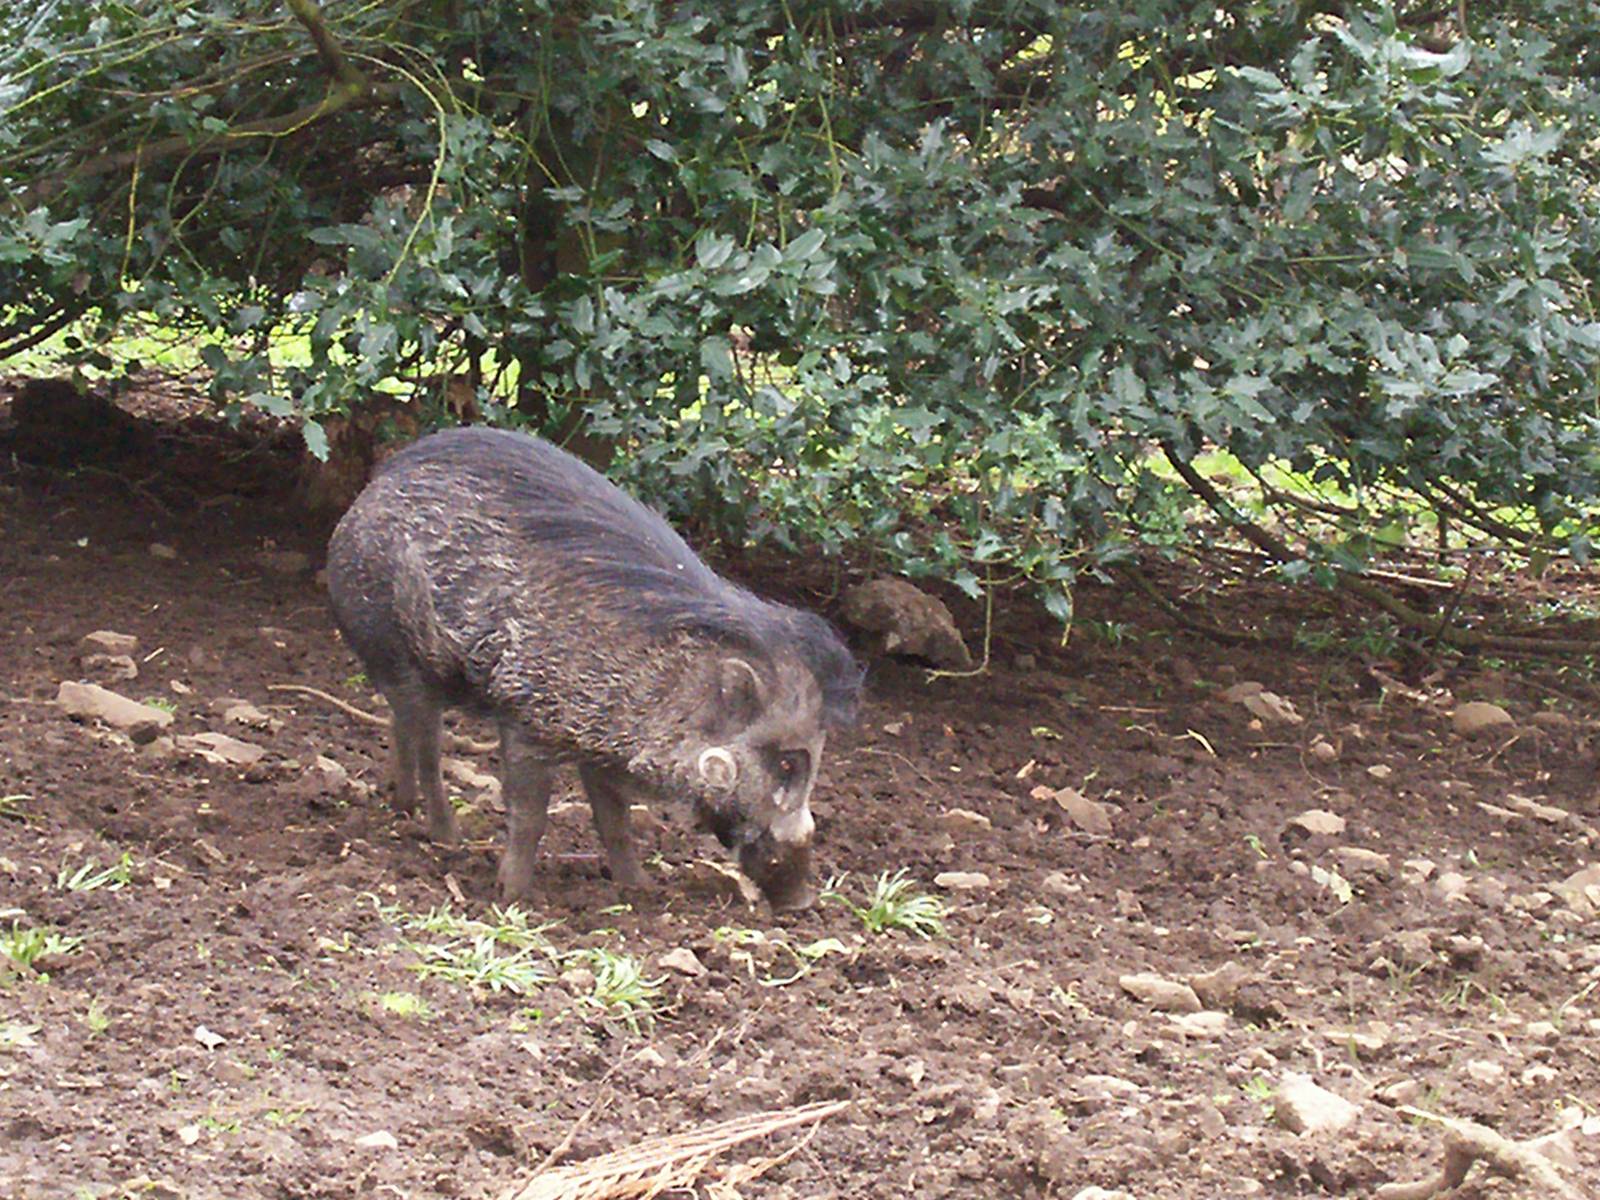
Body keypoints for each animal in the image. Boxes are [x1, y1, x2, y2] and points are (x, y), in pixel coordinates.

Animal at [325, 427, 862, 910]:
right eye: (788, 763)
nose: (802, 903)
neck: (662, 685)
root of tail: (368, 491)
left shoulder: (601, 751)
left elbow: (614, 820)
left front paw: (639, 890)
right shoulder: (525, 719)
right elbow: (530, 816)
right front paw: (513, 897)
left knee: (402, 729)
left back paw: (404, 807)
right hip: (398, 653)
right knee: (427, 746)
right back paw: (444, 836)